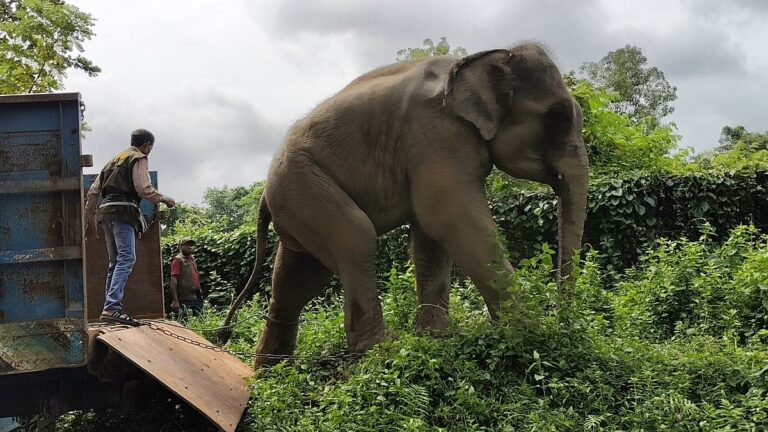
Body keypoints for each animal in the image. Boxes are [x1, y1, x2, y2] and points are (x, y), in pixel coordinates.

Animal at [219, 43, 589, 367]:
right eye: (558, 118)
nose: (562, 320)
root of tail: (264, 194)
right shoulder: (436, 134)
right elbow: (449, 216)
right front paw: (530, 334)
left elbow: (432, 237)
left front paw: (438, 337)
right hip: (303, 185)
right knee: (356, 239)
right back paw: (381, 349)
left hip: (296, 199)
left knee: (299, 278)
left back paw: (269, 376)